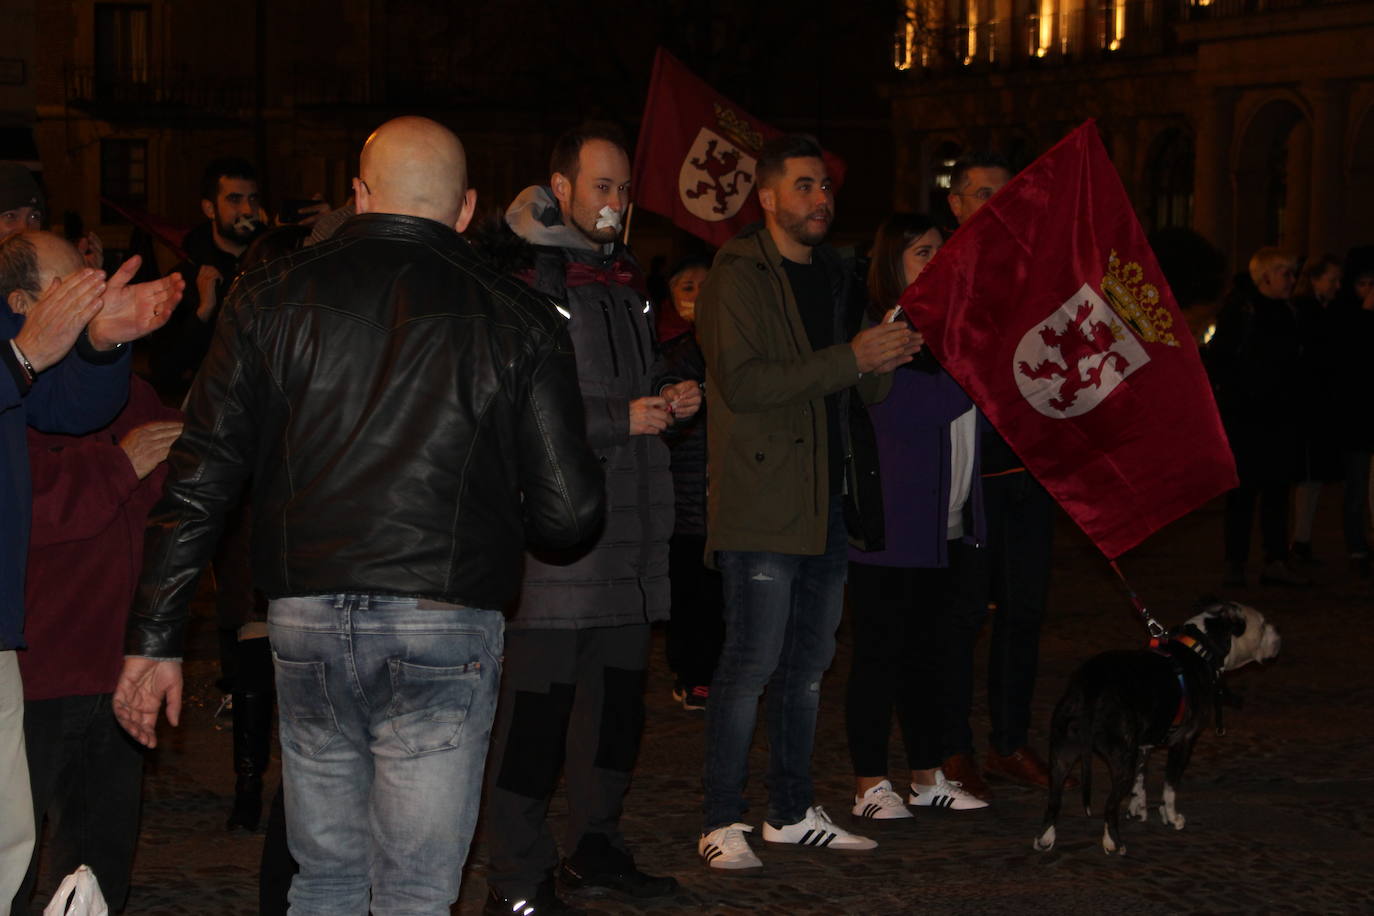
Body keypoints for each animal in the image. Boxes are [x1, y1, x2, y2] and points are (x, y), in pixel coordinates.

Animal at [1033, 601, 1280, 862]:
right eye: (1263, 624)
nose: (1278, 632)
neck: (1201, 648)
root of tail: (1092, 687)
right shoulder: (1183, 741)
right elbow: (1170, 785)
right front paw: (1171, 817)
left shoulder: (1143, 744)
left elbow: (1141, 779)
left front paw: (1138, 808)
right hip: (1121, 760)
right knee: (1110, 805)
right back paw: (1114, 843)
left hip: (1062, 750)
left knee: (1054, 798)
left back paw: (1045, 839)